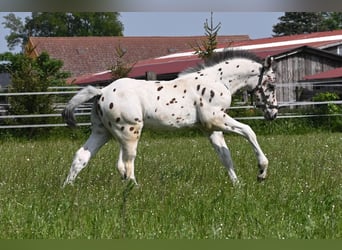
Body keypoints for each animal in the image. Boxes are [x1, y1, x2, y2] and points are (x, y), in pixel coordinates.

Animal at [62, 49, 278, 187]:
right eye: (272, 85)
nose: (273, 113)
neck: (217, 80)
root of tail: (101, 92)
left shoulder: (210, 128)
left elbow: (225, 155)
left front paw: (237, 185)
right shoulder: (216, 119)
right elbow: (249, 131)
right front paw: (261, 172)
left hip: (102, 132)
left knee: (82, 156)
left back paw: (67, 188)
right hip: (130, 132)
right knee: (126, 164)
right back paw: (135, 190)